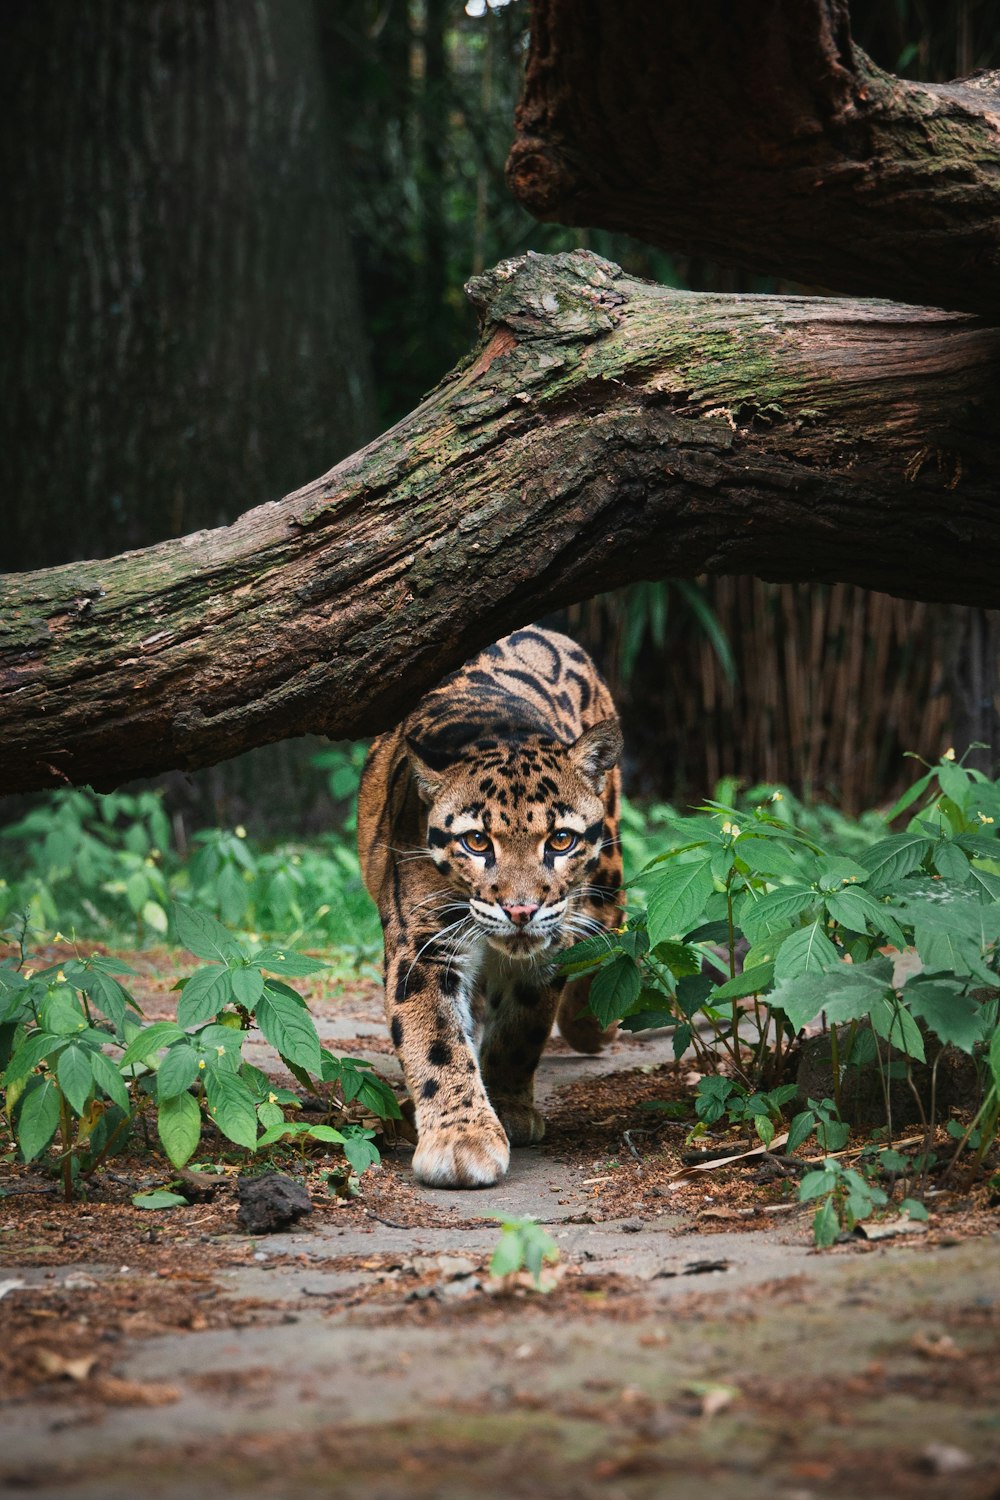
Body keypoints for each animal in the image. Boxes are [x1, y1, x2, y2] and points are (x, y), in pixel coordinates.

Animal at [359, 627, 620, 1188]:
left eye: (561, 840)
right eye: (477, 842)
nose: (521, 910)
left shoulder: (550, 943)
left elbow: (523, 1027)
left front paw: (508, 1106)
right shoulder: (424, 941)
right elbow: (436, 1038)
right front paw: (461, 1137)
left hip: (608, 868)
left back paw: (591, 1021)